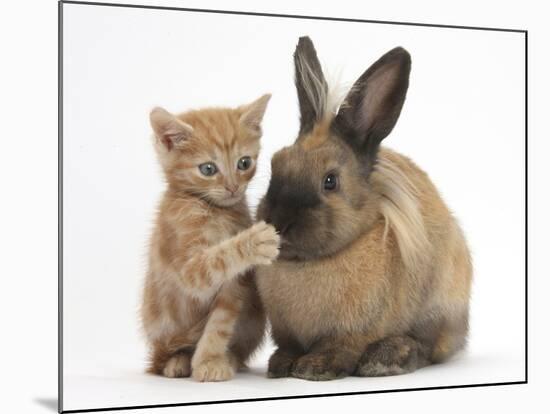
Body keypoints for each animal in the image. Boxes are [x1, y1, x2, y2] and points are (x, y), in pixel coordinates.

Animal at [142, 94, 280, 382]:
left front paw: (210, 360)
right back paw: (177, 362)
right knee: (163, 359)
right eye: (208, 169)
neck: (215, 212)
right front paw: (255, 241)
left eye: (244, 163)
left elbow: (219, 324)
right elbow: (216, 259)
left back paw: (231, 358)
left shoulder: (236, 285)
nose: (233, 187)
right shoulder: (187, 268)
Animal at [256, 37, 472, 380]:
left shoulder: (352, 332)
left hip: (438, 306)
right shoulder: (285, 332)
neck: (306, 263)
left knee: (427, 347)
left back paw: (387, 358)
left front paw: (315, 368)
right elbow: (287, 347)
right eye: (276, 165)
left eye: (330, 181)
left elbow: (339, 348)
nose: (279, 223)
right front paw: (280, 365)